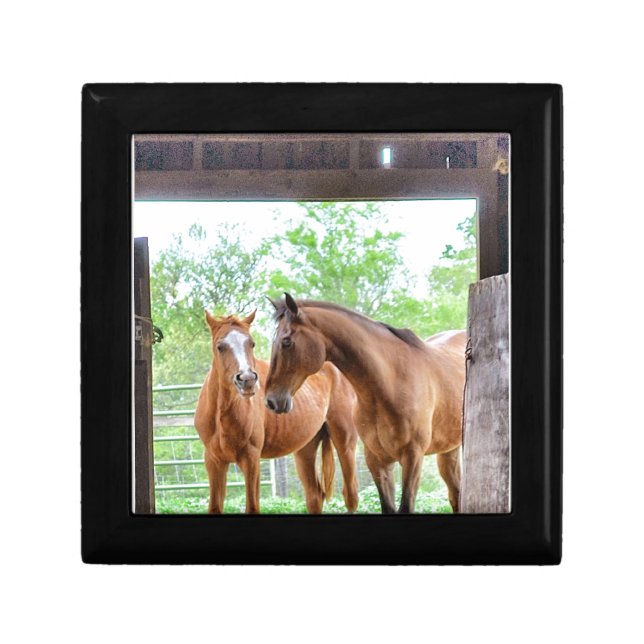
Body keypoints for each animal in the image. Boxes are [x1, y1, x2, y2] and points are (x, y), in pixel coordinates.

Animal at [194, 310, 359, 514]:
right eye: (220, 346)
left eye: (251, 343)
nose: (247, 380)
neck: (222, 417)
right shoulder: (214, 461)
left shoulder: (251, 460)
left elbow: (252, 507)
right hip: (305, 449)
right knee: (314, 496)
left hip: (345, 443)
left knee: (350, 496)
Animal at [265, 294, 466, 514]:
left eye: (286, 341)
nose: (271, 401)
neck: (392, 383)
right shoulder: (377, 461)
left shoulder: (413, 457)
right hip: (448, 451)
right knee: (456, 494)